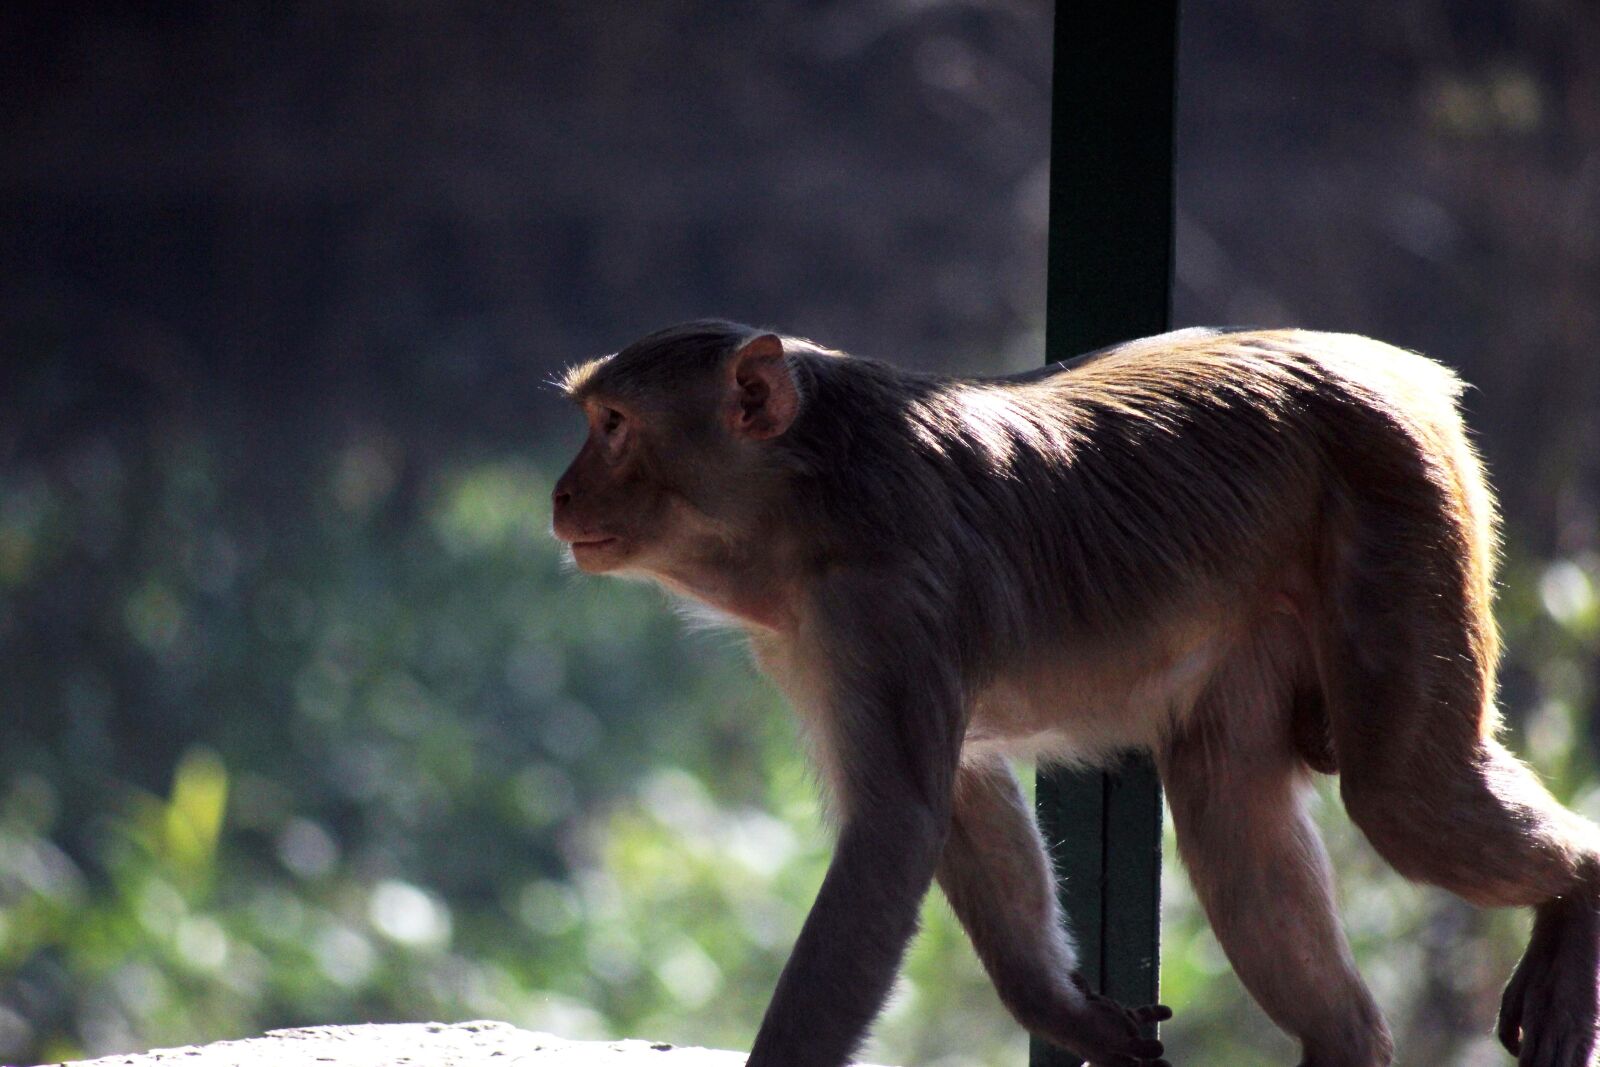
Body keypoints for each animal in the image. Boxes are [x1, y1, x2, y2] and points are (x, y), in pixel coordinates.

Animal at [549, 320, 1600, 1067]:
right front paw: (1060, 1009)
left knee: (1402, 799)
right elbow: (960, 795)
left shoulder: (881, 600)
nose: (561, 493)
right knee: (1234, 814)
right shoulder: (814, 638)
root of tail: (1394, 366)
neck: (812, 494)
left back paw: (1581, 885)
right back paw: (1345, 1039)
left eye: (614, 427)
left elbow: (895, 830)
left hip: (1397, 498)